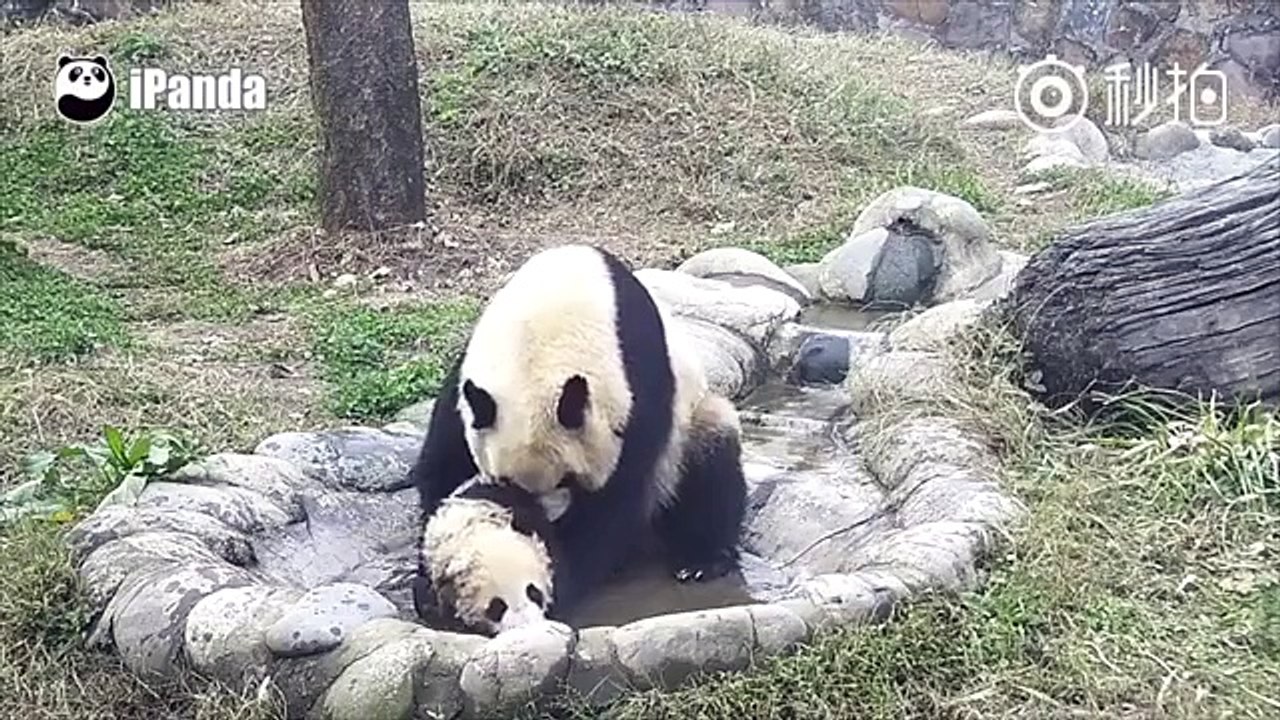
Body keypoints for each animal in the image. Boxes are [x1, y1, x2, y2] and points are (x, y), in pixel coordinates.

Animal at [411, 244, 747, 616]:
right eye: (505, 482)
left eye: (567, 480)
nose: (544, 518)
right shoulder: (467, 388)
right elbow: (443, 465)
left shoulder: (643, 394)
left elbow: (615, 504)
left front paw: (560, 575)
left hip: (690, 425)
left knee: (711, 467)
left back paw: (701, 559)